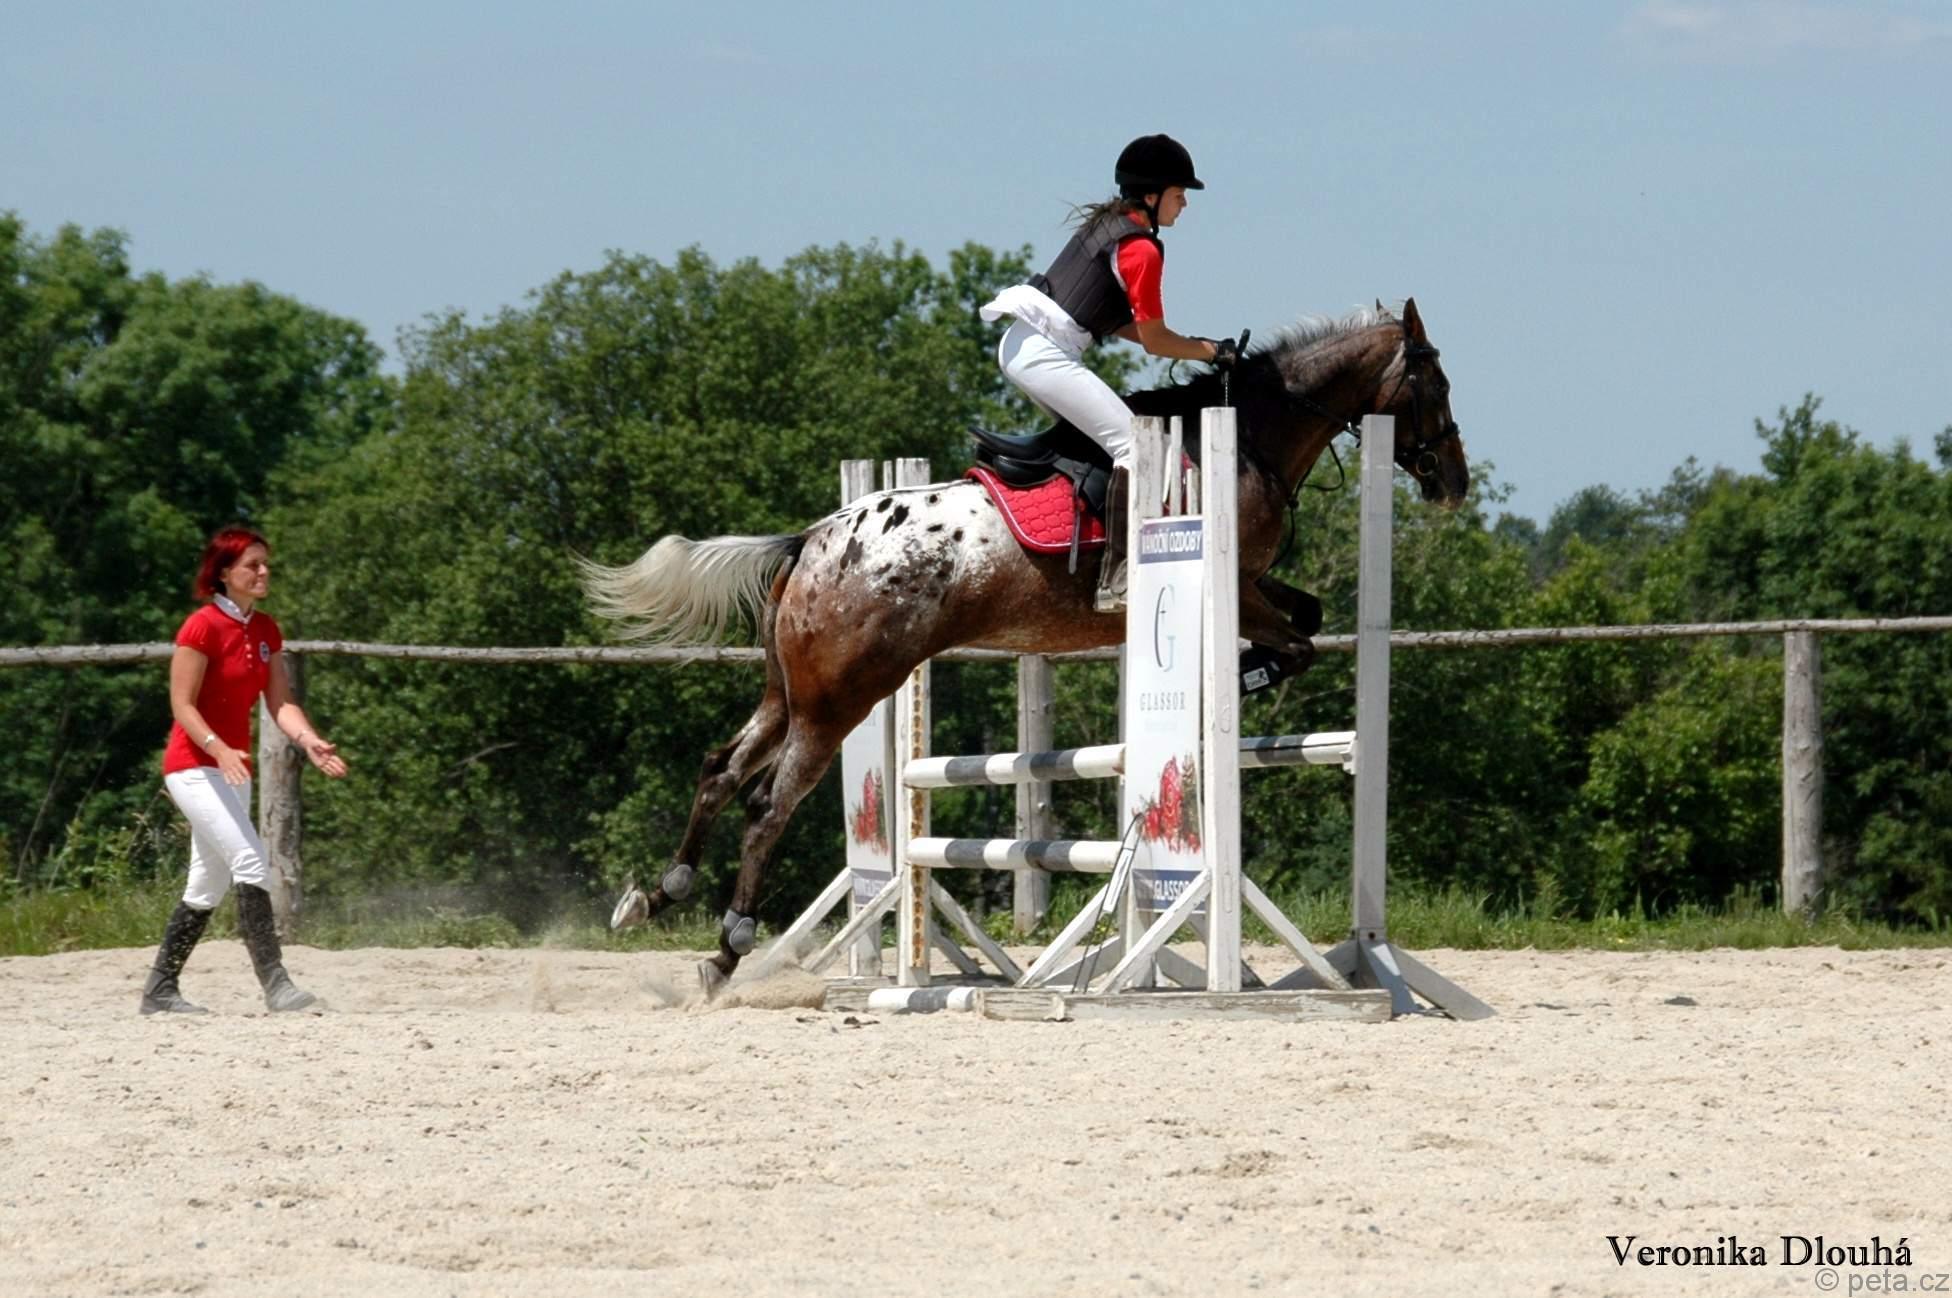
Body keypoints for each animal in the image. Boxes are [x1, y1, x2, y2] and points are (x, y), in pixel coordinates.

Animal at [583, 298, 1469, 994]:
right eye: (1436, 386)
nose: (1453, 483)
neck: (1244, 438)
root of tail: (810, 541)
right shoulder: (1238, 586)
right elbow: (1297, 640)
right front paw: (1246, 678)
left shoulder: (1253, 585)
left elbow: (1308, 617)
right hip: (842, 697)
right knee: (769, 804)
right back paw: (726, 949)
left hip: (790, 690)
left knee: (720, 770)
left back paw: (655, 895)